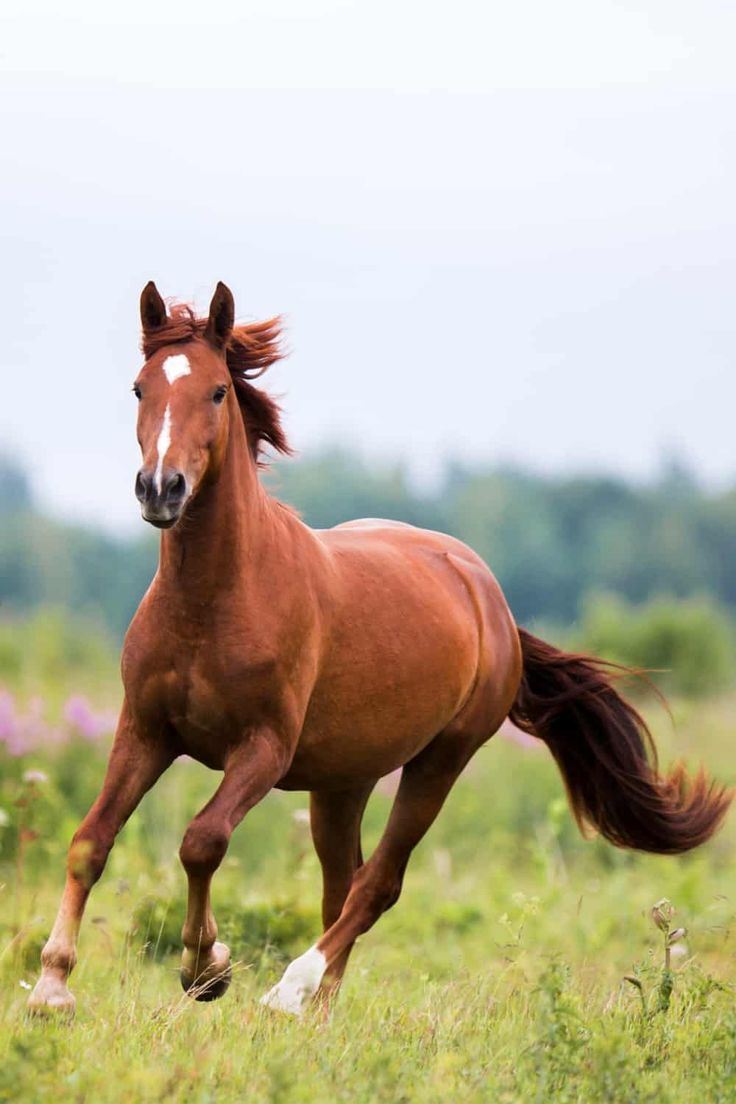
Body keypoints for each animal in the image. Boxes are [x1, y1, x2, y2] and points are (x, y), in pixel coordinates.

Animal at [28, 280, 732, 1011]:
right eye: (140, 388)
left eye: (218, 391)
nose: (161, 489)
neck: (213, 603)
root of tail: (489, 596)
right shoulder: (145, 730)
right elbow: (91, 841)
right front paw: (52, 986)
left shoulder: (263, 749)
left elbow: (203, 841)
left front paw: (205, 968)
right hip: (344, 781)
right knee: (343, 885)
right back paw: (317, 1010)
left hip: (439, 762)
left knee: (377, 884)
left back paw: (291, 991)